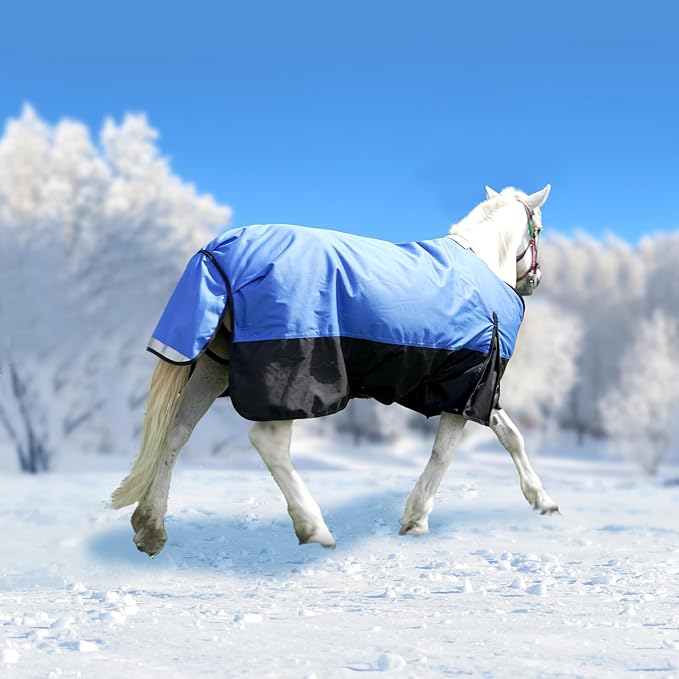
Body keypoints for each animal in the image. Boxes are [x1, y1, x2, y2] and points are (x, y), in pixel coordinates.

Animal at [112, 184, 558, 557]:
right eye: (538, 229)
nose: (535, 280)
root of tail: (221, 253)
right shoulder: (468, 384)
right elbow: (445, 453)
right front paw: (416, 518)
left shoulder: (474, 390)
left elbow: (510, 435)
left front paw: (542, 500)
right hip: (290, 376)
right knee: (268, 442)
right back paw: (315, 528)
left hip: (212, 369)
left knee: (177, 432)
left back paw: (150, 526)